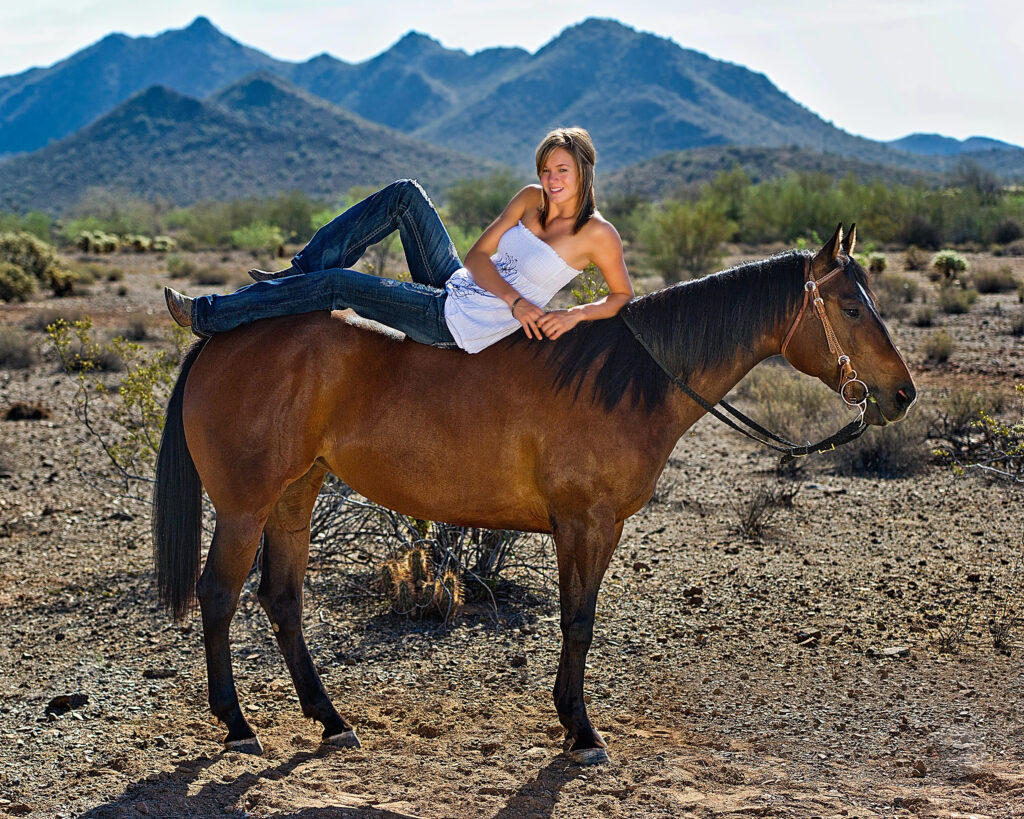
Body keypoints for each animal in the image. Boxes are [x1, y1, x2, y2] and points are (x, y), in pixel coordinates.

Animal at [153, 224, 916, 765]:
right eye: (851, 306)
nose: (902, 393)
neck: (627, 379)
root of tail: (220, 342)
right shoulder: (587, 523)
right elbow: (578, 622)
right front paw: (582, 733)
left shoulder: (593, 528)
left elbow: (579, 619)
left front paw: (569, 720)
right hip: (245, 506)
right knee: (219, 596)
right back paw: (238, 726)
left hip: (296, 494)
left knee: (281, 599)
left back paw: (332, 721)